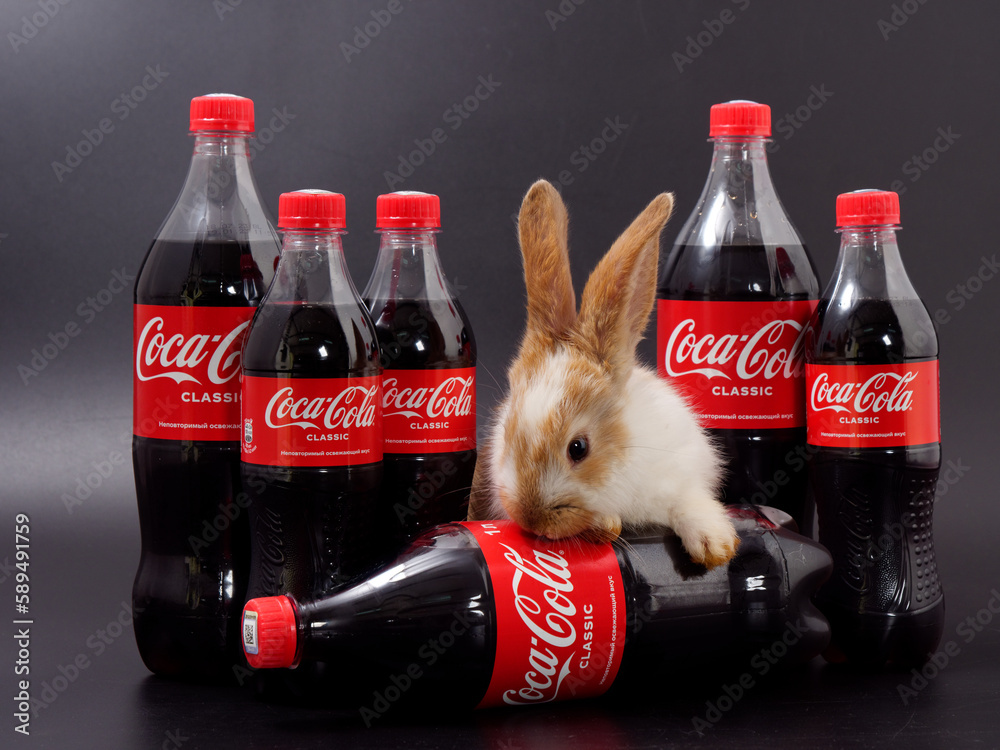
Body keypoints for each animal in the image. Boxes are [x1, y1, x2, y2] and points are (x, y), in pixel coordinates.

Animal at [467, 179, 739, 569]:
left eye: (578, 448)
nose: (531, 518)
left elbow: (689, 502)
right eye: (508, 433)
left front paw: (715, 546)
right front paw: (606, 525)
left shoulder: (684, 468)